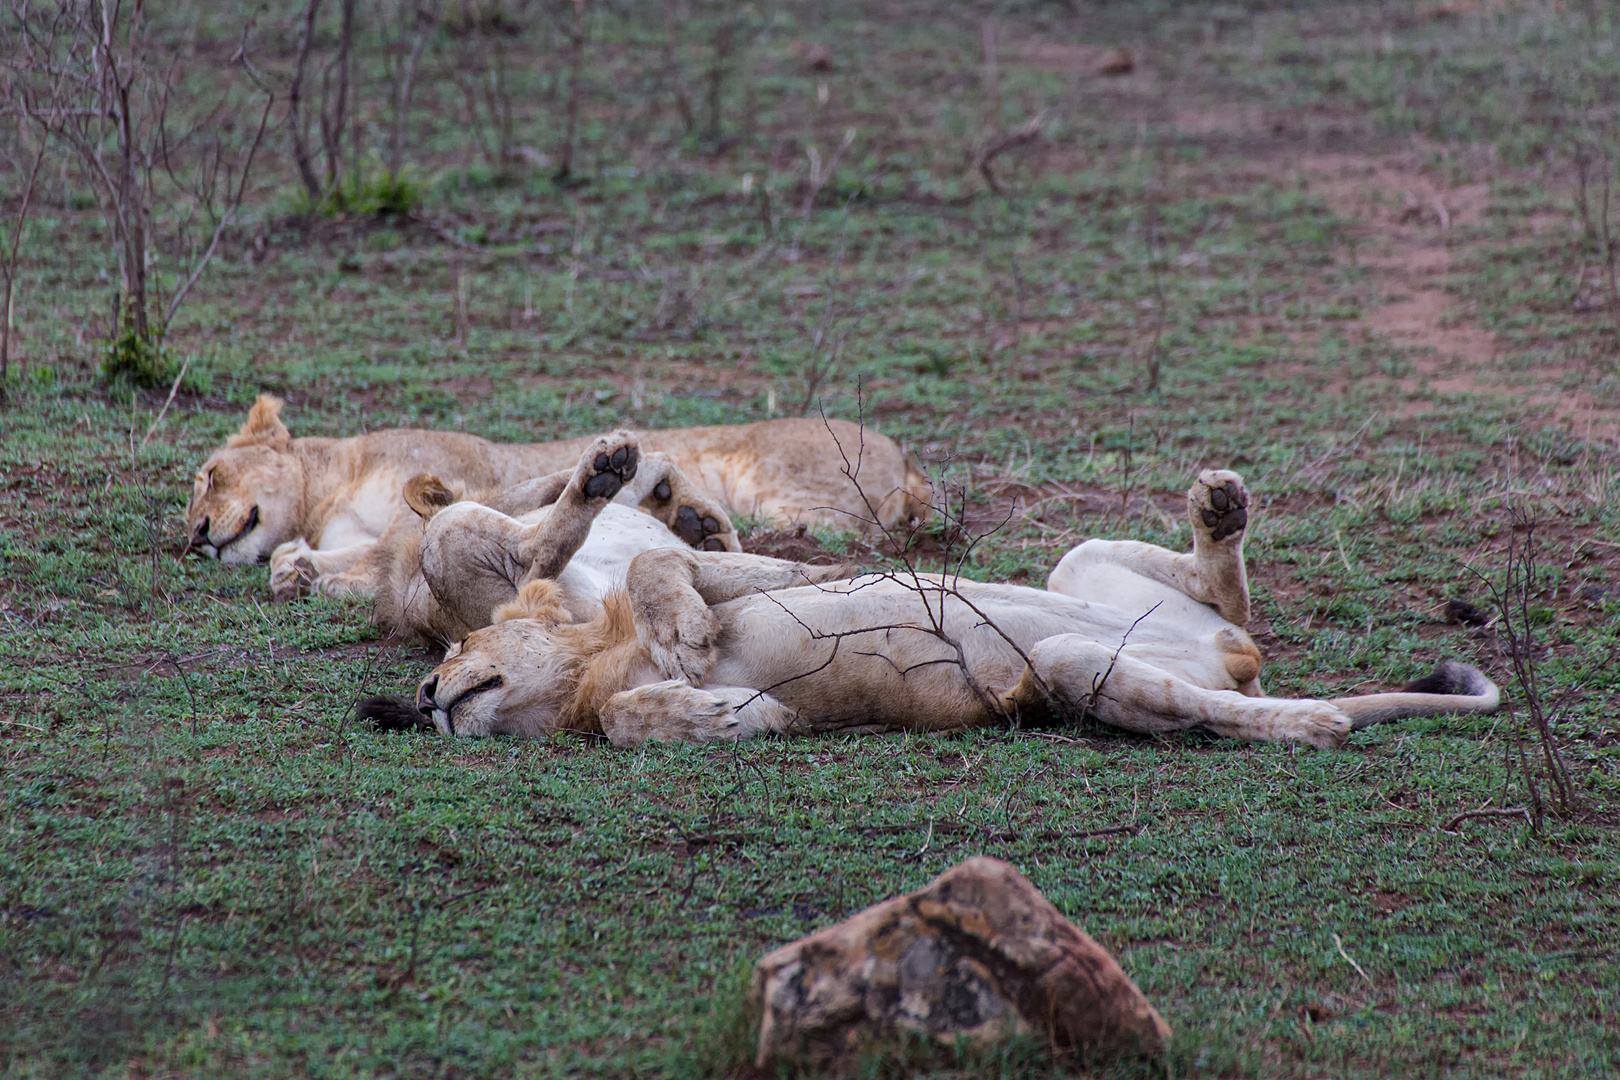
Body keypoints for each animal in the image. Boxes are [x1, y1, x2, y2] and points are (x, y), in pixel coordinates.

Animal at [182, 395, 926, 605]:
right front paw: (297, 571)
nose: (193, 537)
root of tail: (906, 455)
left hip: (787, 497)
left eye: (210, 475)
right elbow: (342, 561)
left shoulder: (459, 480)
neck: (326, 491)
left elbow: (425, 509)